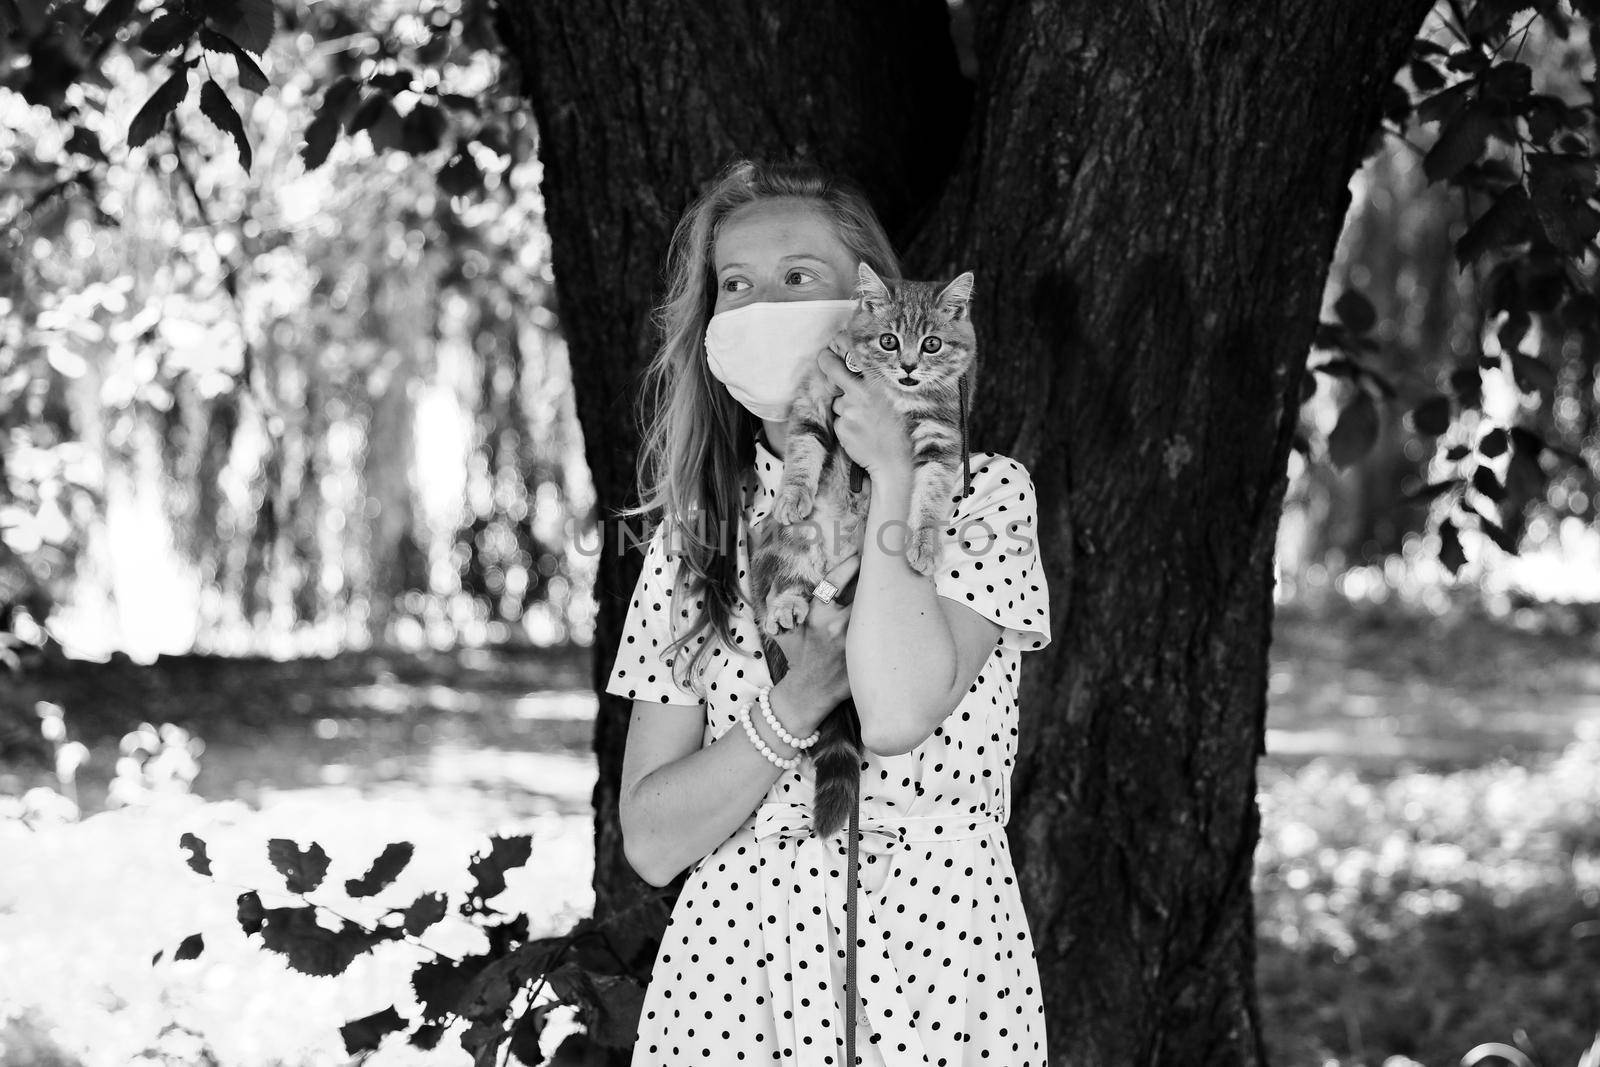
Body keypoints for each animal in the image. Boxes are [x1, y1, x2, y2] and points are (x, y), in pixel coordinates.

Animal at [748, 260, 972, 844]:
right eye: (889, 340)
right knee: (788, 579)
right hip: (793, 546)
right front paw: (794, 492)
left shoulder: (942, 436)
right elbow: (805, 445)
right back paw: (786, 605)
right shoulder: (815, 395)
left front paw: (923, 544)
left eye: (933, 343)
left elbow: (932, 493)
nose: (911, 366)